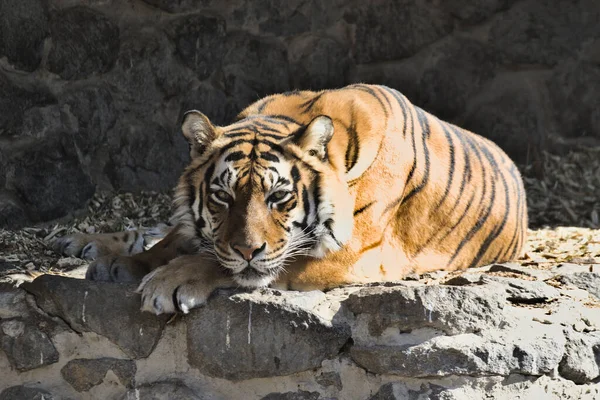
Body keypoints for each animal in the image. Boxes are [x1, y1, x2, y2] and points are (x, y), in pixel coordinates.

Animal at [52, 85, 528, 316]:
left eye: (278, 196)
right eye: (222, 196)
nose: (247, 249)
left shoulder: (356, 252)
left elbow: (230, 262)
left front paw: (169, 281)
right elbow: (183, 241)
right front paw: (124, 263)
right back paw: (87, 243)